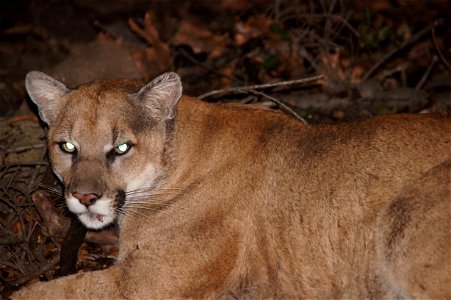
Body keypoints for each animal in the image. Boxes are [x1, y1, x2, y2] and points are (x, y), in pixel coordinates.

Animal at [12, 70, 450, 298]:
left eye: (121, 148)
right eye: (67, 146)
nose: (84, 197)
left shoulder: (141, 283)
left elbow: (54, 292)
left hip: (406, 221)